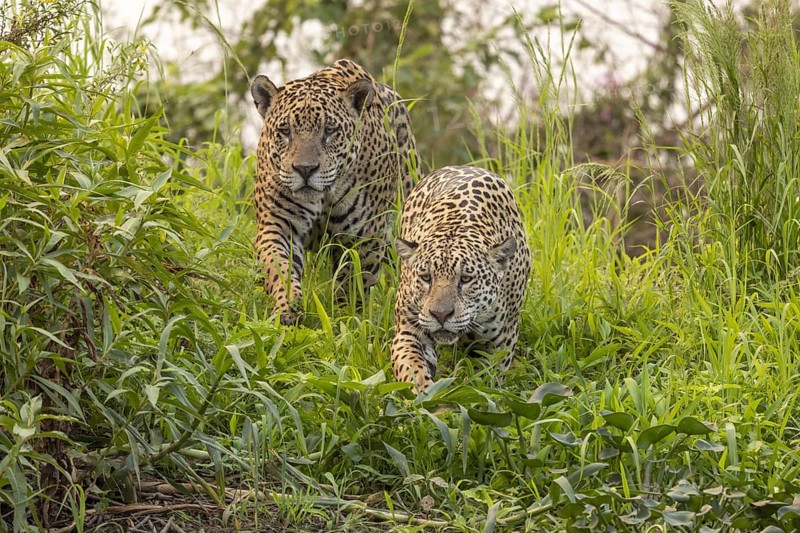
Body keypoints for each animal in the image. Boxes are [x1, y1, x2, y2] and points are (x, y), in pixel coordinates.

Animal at [249, 59, 416, 325]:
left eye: (329, 131)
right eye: (285, 131)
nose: (305, 169)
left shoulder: (365, 236)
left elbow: (353, 283)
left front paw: (346, 319)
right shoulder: (278, 224)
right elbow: (279, 268)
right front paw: (287, 310)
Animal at [391, 165, 531, 393]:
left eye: (465, 279)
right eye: (426, 277)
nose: (440, 315)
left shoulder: (501, 341)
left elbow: (487, 381)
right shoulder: (409, 329)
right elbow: (411, 367)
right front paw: (425, 393)